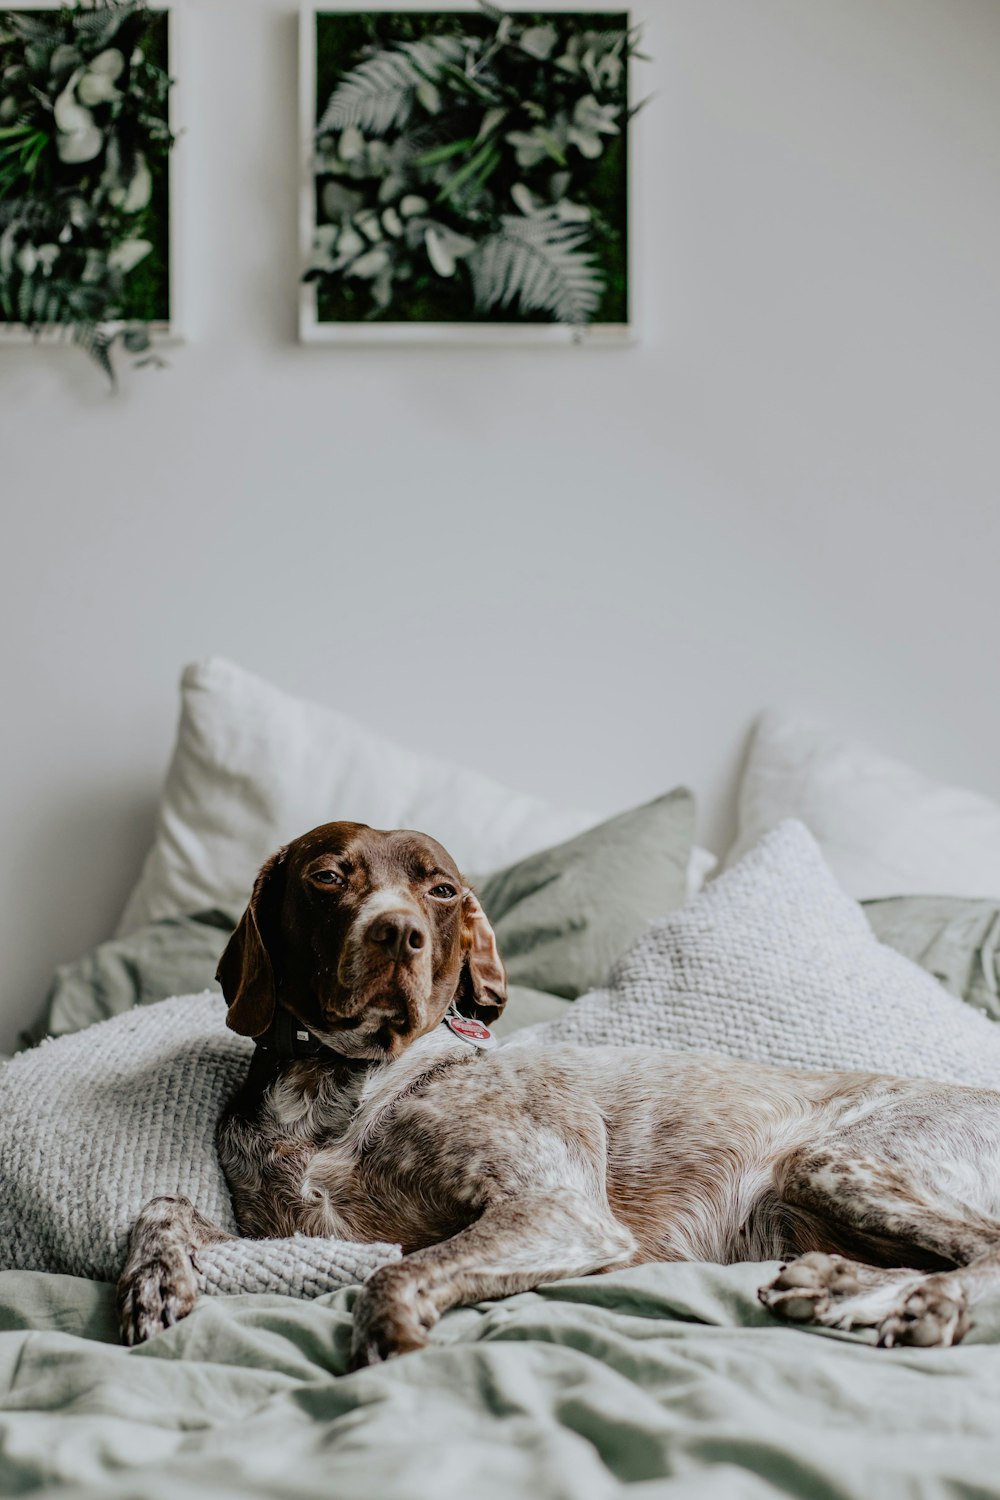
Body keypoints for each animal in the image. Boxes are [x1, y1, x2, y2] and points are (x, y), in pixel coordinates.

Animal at [119, 816, 1000, 1368]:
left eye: (442, 891)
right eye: (330, 876)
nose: (399, 933)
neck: (341, 1085)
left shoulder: (557, 1210)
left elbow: (398, 1272)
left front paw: (388, 1335)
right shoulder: (294, 1234)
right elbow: (163, 1206)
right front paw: (153, 1280)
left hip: (831, 1160)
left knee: (984, 1248)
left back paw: (909, 1303)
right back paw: (841, 1288)